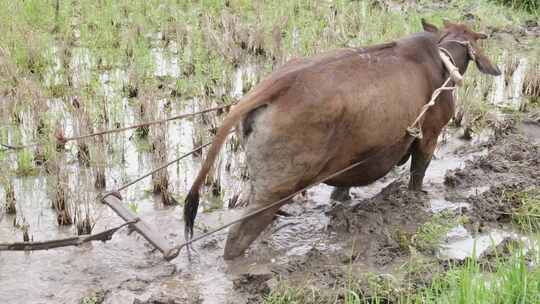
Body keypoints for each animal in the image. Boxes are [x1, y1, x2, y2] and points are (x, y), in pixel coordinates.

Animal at [184, 18, 500, 258]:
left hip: (263, 188)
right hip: (276, 189)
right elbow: (417, 178)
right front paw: (414, 204)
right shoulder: (429, 137)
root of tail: (271, 86)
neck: (443, 57)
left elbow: (342, 192)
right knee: (236, 240)